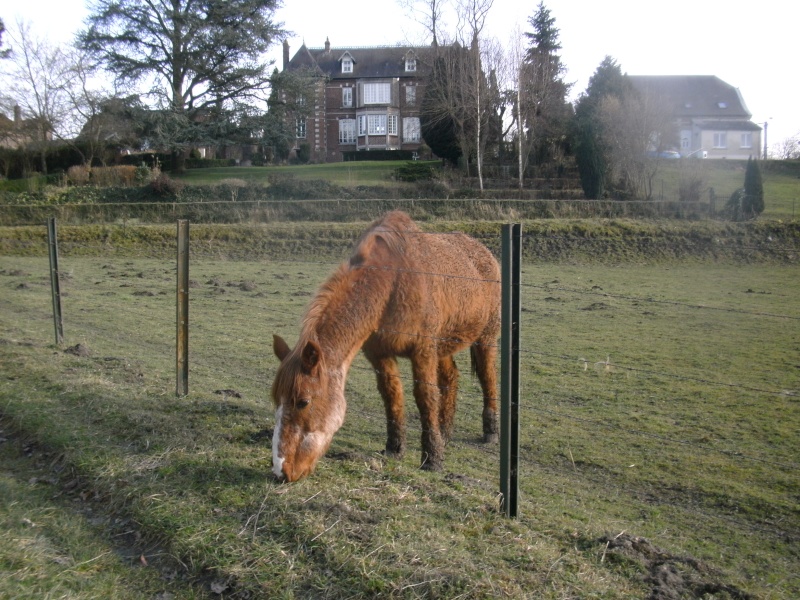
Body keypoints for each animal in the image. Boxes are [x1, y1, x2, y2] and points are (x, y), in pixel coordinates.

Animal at [274, 211, 500, 482]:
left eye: (303, 402)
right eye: (276, 399)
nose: (281, 470)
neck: (391, 280)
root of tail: (485, 252)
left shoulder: (422, 351)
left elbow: (425, 397)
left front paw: (432, 460)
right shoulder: (379, 353)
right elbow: (391, 394)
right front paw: (395, 448)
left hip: (486, 338)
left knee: (488, 378)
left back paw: (490, 432)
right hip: (444, 345)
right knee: (450, 379)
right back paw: (445, 432)